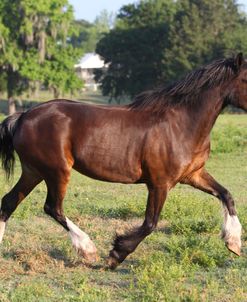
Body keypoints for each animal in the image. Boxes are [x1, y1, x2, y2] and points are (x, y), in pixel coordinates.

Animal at [0, 52, 247, 268]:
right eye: (246, 79)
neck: (180, 125)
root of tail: (22, 117)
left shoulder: (193, 175)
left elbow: (226, 195)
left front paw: (233, 242)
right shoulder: (159, 184)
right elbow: (150, 223)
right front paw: (116, 255)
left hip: (34, 171)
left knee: (9, 202)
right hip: (56, 172)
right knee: (53, 208)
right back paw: (87, 248)